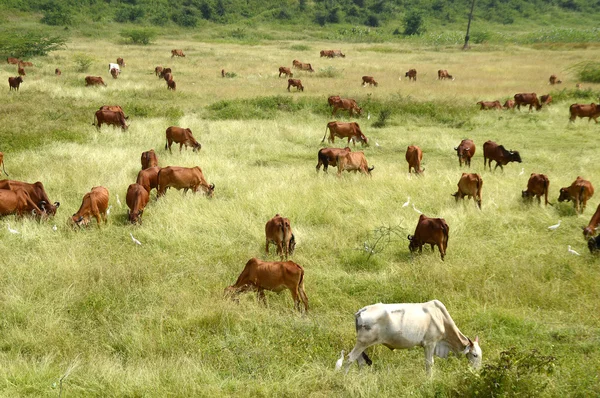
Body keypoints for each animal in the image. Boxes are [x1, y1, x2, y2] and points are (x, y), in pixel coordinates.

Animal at [344, 300, 480, 374]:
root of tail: (361, 311)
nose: (477, 370)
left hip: (363, 345)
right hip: (362, 343)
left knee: (360, 361)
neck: (441, 317)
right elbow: (429, 363)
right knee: (350, 358)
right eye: (475, 355)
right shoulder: (430, 343)